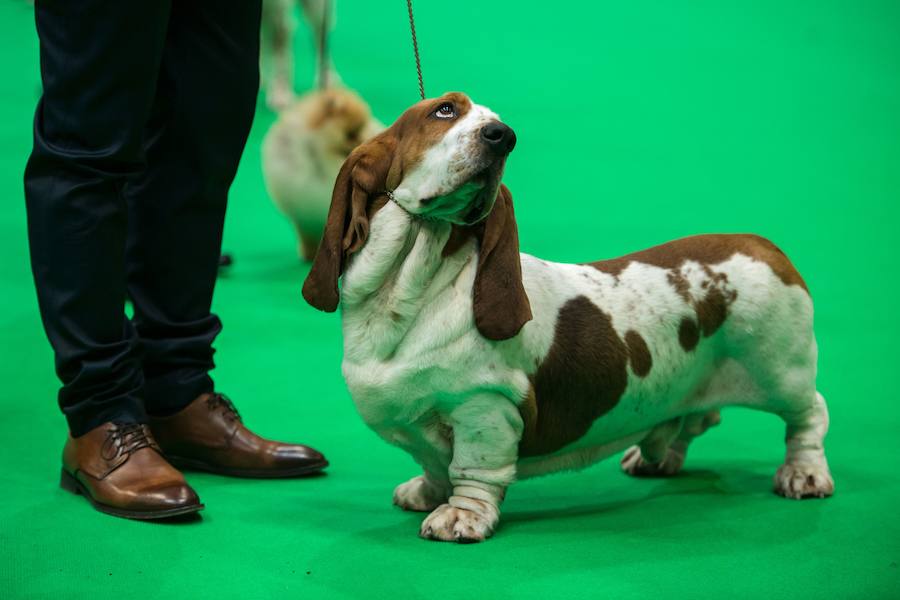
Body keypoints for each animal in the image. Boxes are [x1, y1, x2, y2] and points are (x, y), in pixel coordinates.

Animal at [304, 92, 836, 544]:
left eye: (496, 123)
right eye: (445, 110)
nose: (503, 135)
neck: (412, 288)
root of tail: (762, 243)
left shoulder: (483, 407)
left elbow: (471, 470)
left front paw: (459, 517)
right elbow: (434, 463)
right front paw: (425, 493)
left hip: (780, 370)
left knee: (809, 415)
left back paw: (804, 475)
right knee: (694, 420)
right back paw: (655, 457)